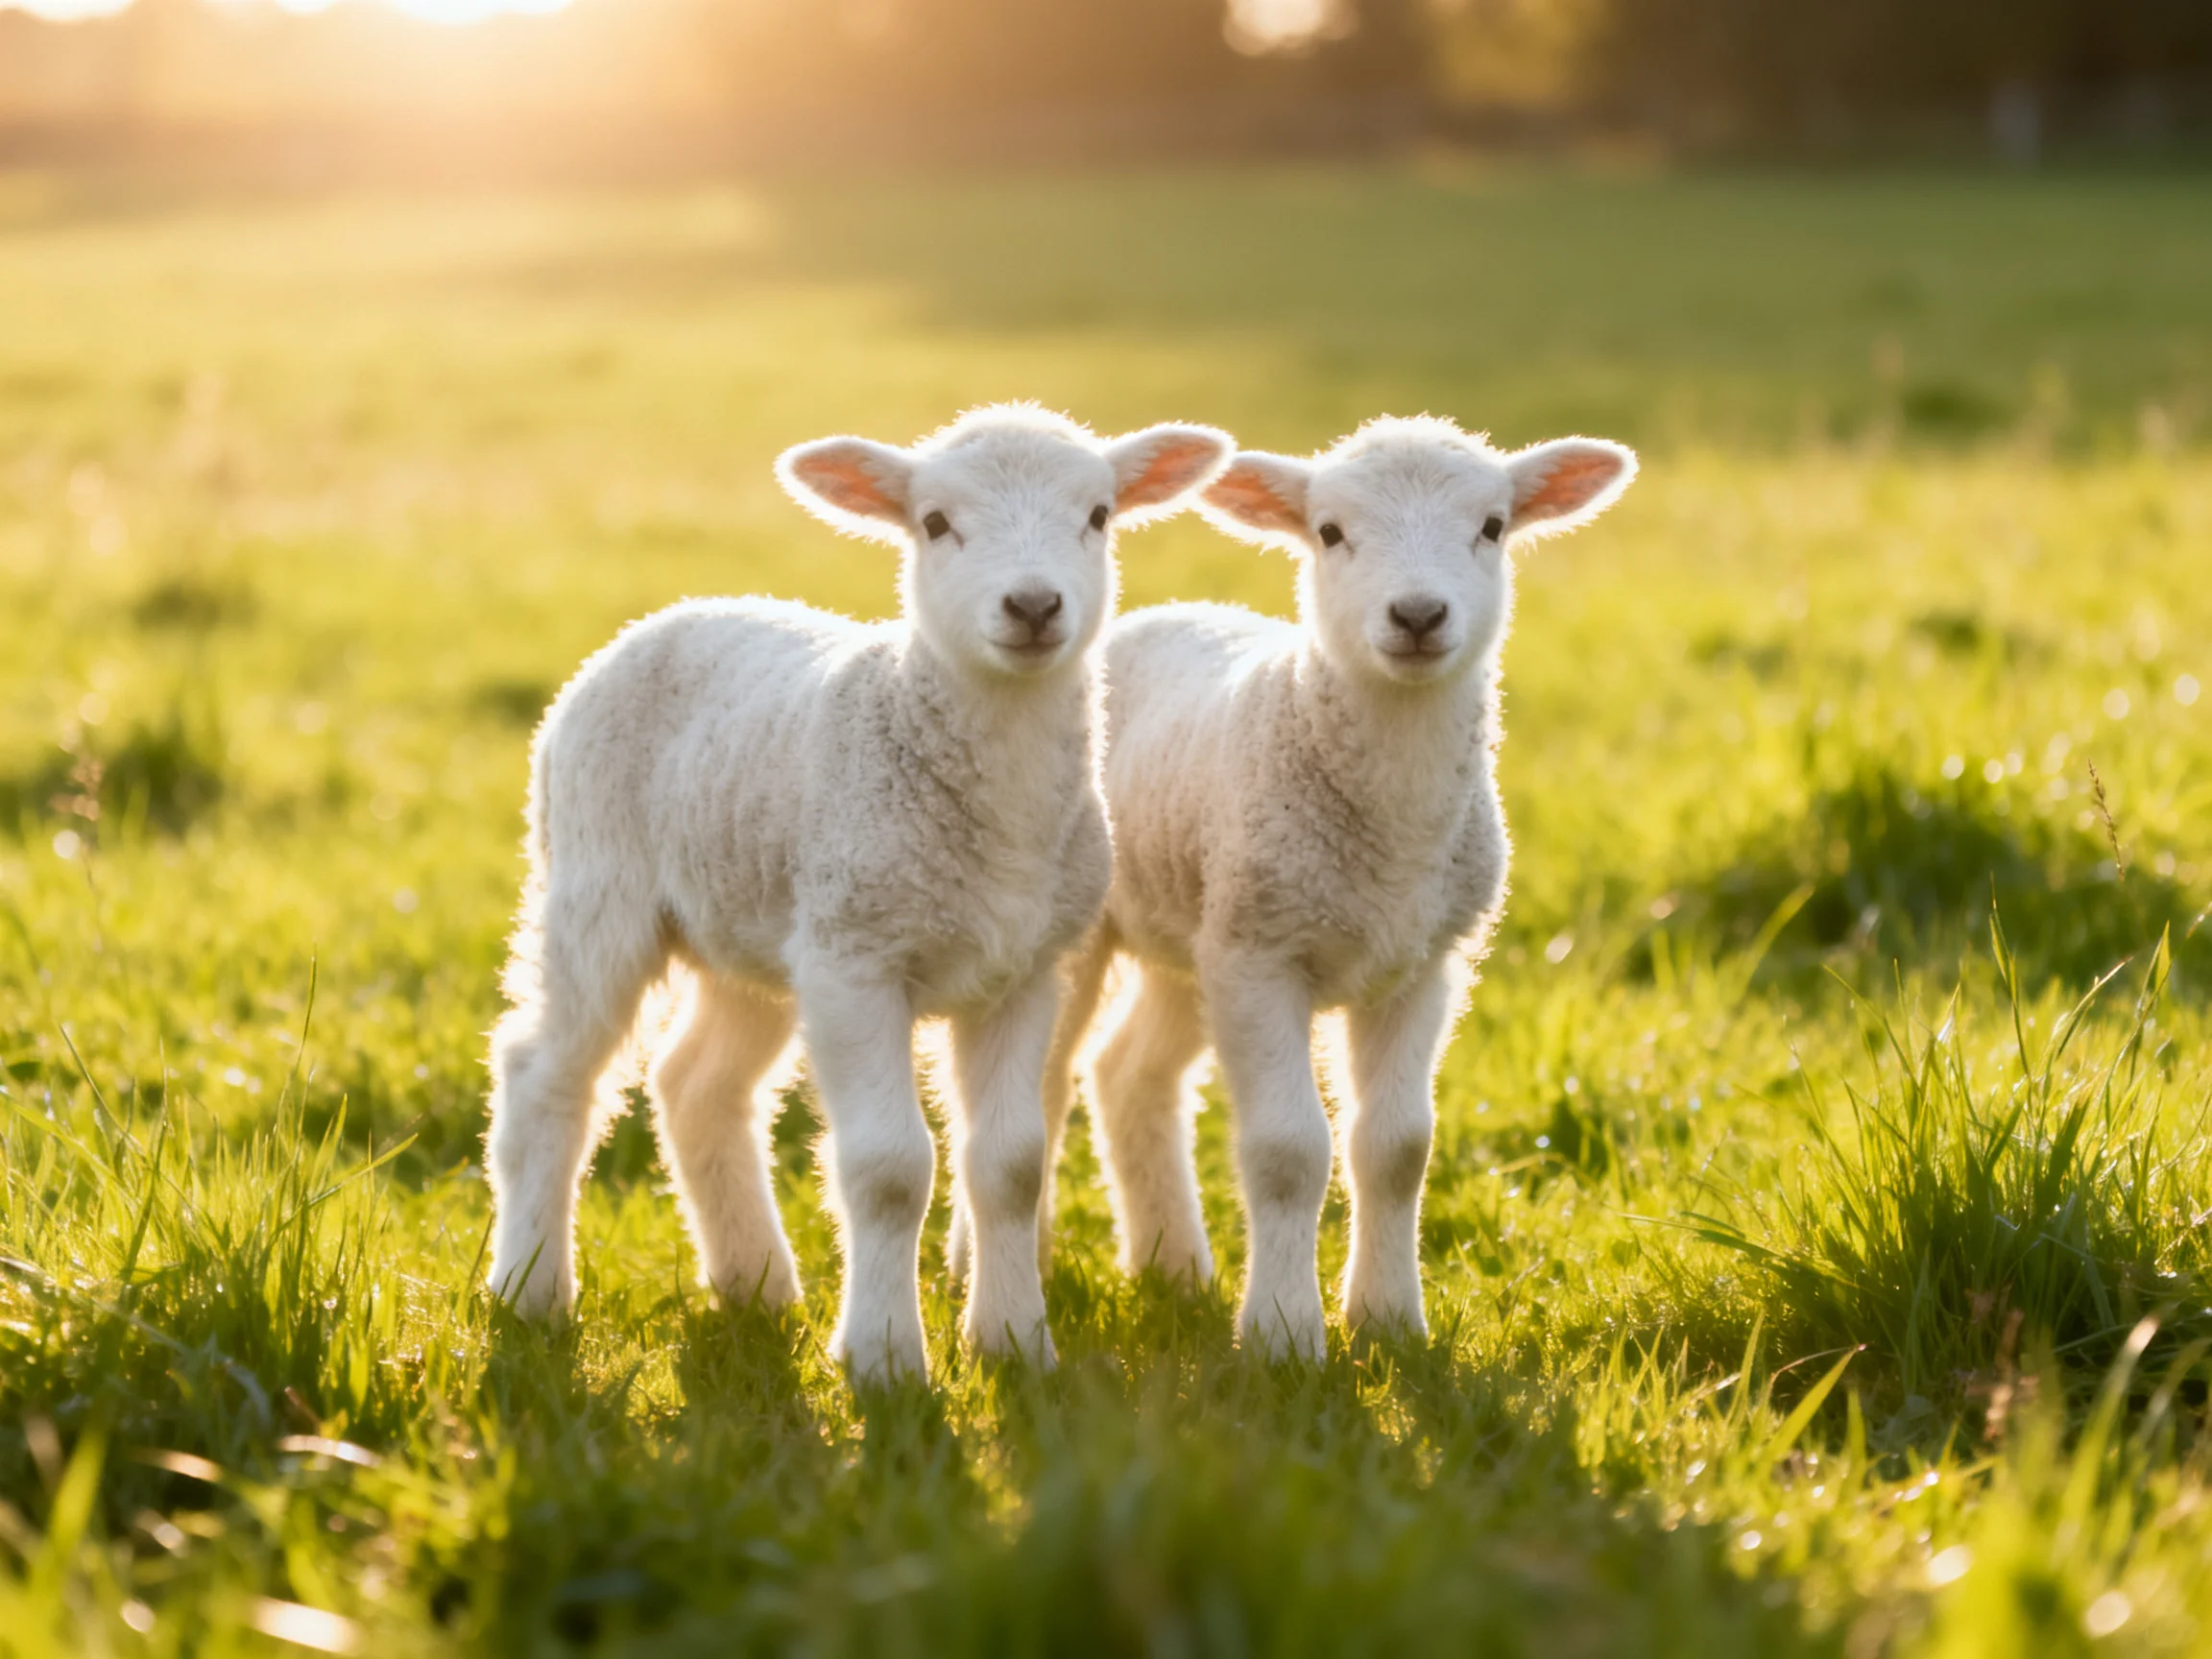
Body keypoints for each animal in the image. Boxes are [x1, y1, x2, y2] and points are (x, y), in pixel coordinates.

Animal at [482, 403, 1233, 1383]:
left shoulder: (1022, 970)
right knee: (545, 1075)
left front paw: (1013, 1342)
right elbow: (887, 1166)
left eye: (1099, 515)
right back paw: (530, 1290)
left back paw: (757, 1284)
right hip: (596, 885)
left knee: (697, 1085)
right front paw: (883, 1359)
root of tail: (668, 614)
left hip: (758, 925)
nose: (1033, 607)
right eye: (936, 523)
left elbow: (1011, 1164)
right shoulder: (857, 963)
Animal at [1045, 416, 1636, 1360]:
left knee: (1128, 1072)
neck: (1392, 842)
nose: (1419, 615)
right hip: (1121, 930)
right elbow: (1288, 1151)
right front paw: (1284, 1336)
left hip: (1193, 929)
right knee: (1045, 1089)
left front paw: (1390, 1322)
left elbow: (1398, 1149)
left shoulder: (1421, 964)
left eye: (1493, 526)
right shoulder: (1262, 957)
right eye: (1329, 532)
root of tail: (1155, 614)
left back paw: (1172, 1269)